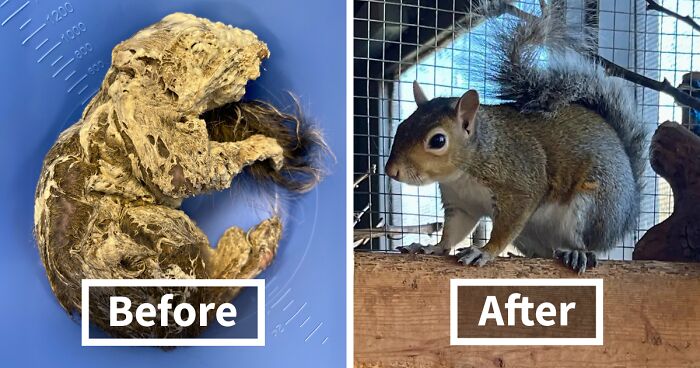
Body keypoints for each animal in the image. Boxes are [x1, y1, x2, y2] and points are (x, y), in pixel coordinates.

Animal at [386, 0, 648, 274]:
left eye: (437, 141)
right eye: (401, 126)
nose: (391, 170)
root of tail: (628, 212)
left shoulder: (520, 185)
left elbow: (505, 229)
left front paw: (484, 251)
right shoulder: (461, 204)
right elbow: (453, 233)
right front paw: (433, 248)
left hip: (591, 207)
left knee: (587, 243)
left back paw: (577, 252)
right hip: (530, 234)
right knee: (545, 252)